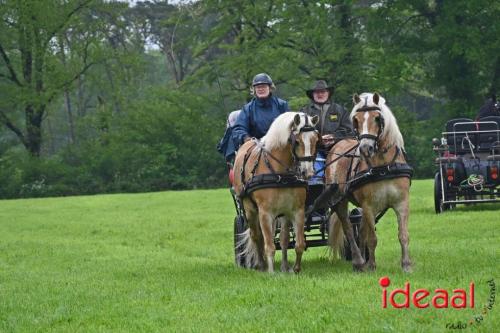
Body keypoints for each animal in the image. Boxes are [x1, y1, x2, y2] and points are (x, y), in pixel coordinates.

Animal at [232, 111, 318, 272]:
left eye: (316, 140)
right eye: (297, 141)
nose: (308, 172)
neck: (280, 173)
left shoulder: (297, 211)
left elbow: (299, 244)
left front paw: (295, 269)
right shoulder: (265, 212)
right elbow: (269, 245)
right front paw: (271, 272)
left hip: (282, 214)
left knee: (283, 238)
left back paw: (283, 266)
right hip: (250, 210)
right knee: (256, 236)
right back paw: (261, 265)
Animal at [326, 92, 412, 272]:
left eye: (377, 118)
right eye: (356, 120)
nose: (366, 148)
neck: (384, 166)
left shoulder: (402, 203)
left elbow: (403, 235)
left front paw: (406, 265)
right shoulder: (369, 206)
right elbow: (372, 238)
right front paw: (372, 265)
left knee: (361, 230)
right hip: (340, 202)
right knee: (349, 229)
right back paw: (359, 261)